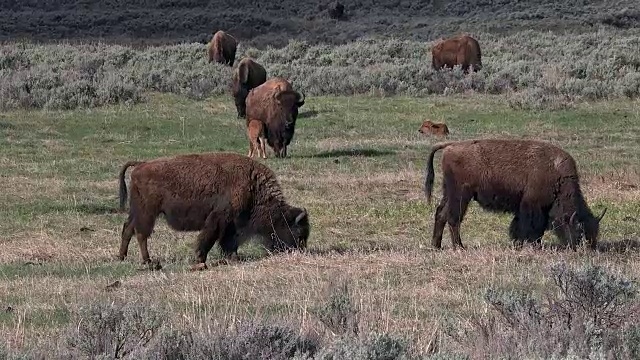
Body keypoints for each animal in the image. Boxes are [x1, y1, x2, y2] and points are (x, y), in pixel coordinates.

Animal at [120, 150, 312, 268]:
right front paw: (200, 258)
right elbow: (210, 238)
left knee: (128, 229)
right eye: (298, 233)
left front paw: (234, 257)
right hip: (147, 213)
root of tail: (140, 165)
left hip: (136, 212)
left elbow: (229, 242)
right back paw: (148, 261)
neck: (252, 186)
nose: (300, 252)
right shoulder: (219, 219)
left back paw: (121, 257)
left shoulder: (232, 224)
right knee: (141, 234)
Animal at [424, 139, 604, 252]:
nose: (588, 249)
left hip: (449, 192)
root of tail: (451, 145)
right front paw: (529, 245)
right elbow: (531, 227)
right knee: (453, 218)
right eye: (579, 230)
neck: (557, 174)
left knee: (441, 214)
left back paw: (436, 246)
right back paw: (460, 247)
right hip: (461, 194)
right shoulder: (532, 206)